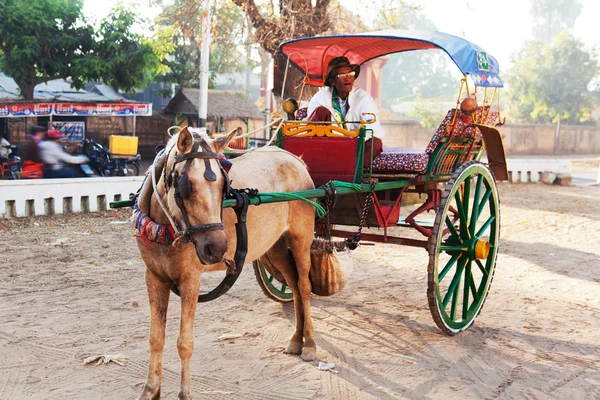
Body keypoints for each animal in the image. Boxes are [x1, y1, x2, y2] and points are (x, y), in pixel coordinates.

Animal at [134, 128, 316, 400]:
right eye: (186, 186)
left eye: (224, 185)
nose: (217, 247)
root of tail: (295, 159)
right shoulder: (154, 276)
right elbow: (156, 338)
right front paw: (151, 390)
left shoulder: (190, 279)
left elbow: (184, 343)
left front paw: (185, 394)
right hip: (275, 247)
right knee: (293, 285)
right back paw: (296, 339)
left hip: (301, 238)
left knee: (304, 287)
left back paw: (311, 344)